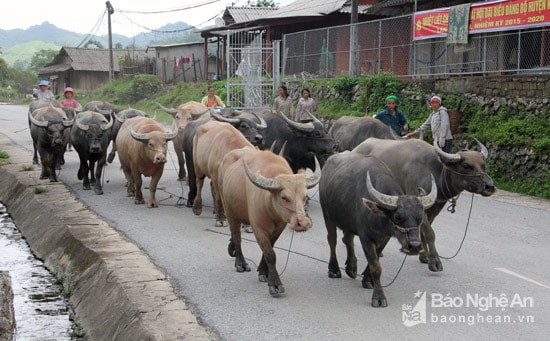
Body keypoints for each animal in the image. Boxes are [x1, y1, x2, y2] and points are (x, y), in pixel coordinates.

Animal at [219, 148, 324, 294]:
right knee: (236, 235)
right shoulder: (258, 228)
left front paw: (263, 271)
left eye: (305, 197)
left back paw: (232, 248)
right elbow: (270, 254)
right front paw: (275, 284)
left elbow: (269, 249)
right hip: (229, 210)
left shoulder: (279, 228)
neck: (270, 209)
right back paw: (240, 263)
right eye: (284, 197)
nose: (303, 223)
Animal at [322, 151, 438, 306]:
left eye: (420, 217)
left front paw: (367, 280)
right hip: (327, 216)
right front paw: (378, 297)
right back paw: (334, 270)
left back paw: (351, 268)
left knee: (348, 239)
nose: (414, 246)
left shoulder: (384, 238)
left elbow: (376, 259)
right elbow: (376, 266)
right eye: (397, 216)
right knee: (332, 240)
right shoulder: (366, 237)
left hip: (348, 222)